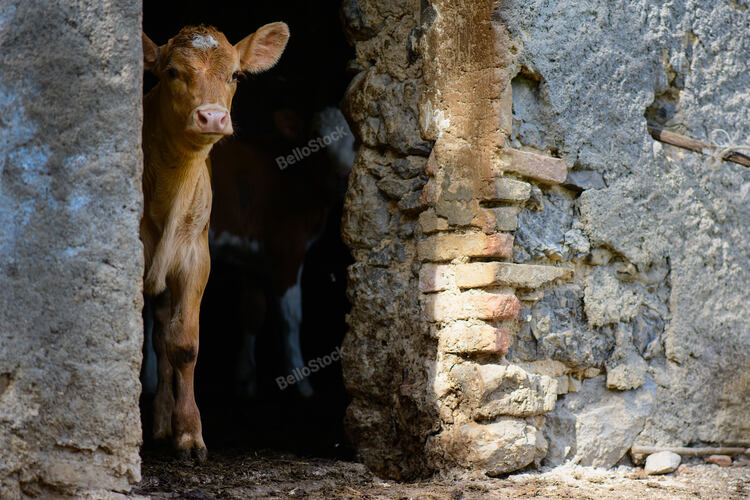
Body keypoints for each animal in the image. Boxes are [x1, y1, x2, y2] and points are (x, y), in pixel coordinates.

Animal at [140, 22, 289, 462]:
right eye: (171, 72)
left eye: (235, 75)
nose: (213, 116)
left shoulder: (195, 255)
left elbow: (184, 344)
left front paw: (189, 434)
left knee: (163, 336)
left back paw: (163, 422)